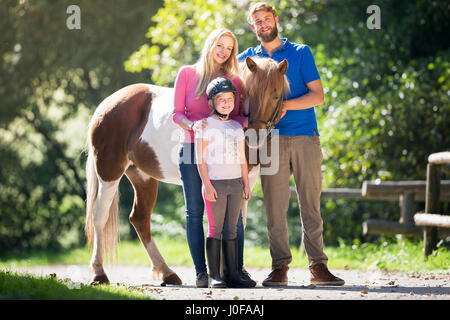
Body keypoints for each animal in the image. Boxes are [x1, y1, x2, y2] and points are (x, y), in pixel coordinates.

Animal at [84, 55, 288, 284]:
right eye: (249, 94)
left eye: (276, 95)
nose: (254, 136)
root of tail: (106, 105)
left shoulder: (246, 183)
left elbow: (237, 223)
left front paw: (234, 273)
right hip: (109, 174)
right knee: (99, 216)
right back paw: (99, 272)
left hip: (143, 177)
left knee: (140, 219)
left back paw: (166, 271)